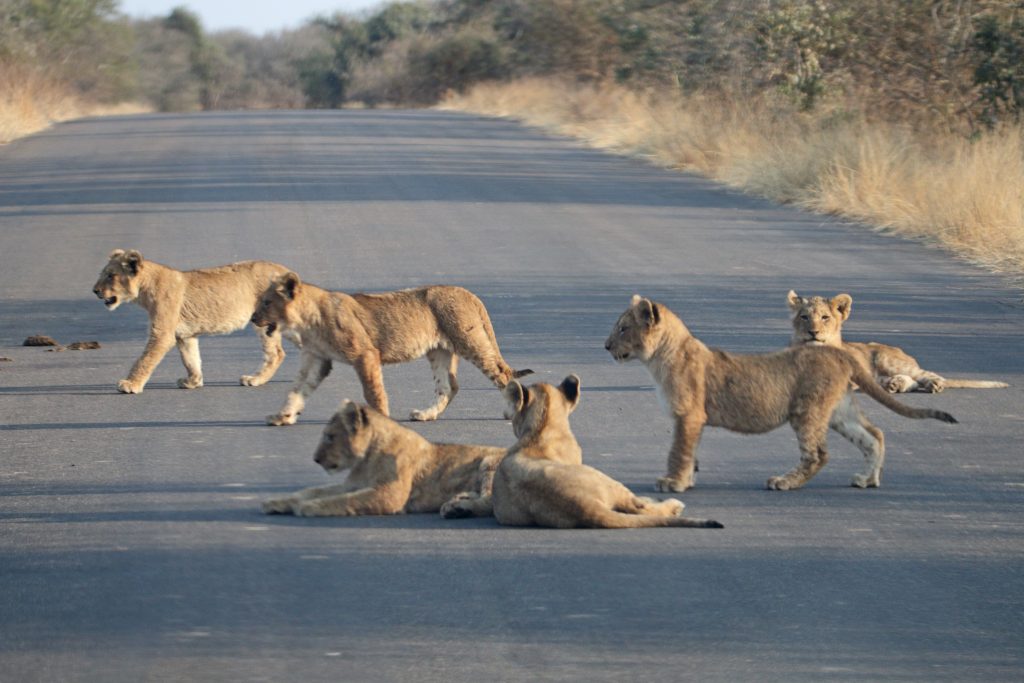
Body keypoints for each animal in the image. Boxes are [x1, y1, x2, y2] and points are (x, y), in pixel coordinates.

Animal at [92, 249, 295, 394]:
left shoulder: (162, 334)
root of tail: (285, 271)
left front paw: (130, 384)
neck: (145, 289)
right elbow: (191, 359)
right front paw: (193, 381)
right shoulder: (185, 334)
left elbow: (145, 359)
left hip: (264, 320)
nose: (94, 290)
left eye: (110, 275)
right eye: (103, 273)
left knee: (276, 353)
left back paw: (255, 379)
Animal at [250, 272, 531, 425]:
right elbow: (297, 390)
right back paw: (426, 414)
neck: (305, 320)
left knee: (502, 373)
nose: (253, 318)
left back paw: (512, 410)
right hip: (439, 351)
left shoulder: (365, 354)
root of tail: (468, 293)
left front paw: (382, 420)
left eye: (266, 302)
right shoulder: (317, 358)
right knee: (449, 386)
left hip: (468, 340)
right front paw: (283, 416)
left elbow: (373, 392)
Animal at [261, 400, 506, 517]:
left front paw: (309, 507)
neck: (367, 458)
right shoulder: (353, 484)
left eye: (330, 436)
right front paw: (276, 502)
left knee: (490, 501)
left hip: (489, 462)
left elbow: (345, 501)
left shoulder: (389, 494)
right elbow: (311, 491)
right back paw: (456, 502)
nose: (316, 459)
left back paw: (457, 509)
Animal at [606, 295, 957, 492]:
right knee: (873, 435)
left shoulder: (688, 414)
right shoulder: (694, 419)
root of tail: (837, 353)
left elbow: (678, 451)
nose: (606, 345)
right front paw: (686, 480)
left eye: (623, 328)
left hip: (807, 410)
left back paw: (783, 482)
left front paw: (673, 483)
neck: (660, 357)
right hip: (839, 410)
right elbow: (691, 452)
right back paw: (867, 479)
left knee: (818, 454)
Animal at [788, 290, 1008, 393]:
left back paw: (934, 384)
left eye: (825, 317)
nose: (813, 332)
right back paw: (895, 384)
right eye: (804, 317)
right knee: (908, 381)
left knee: (926, 375)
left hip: (887, 359)